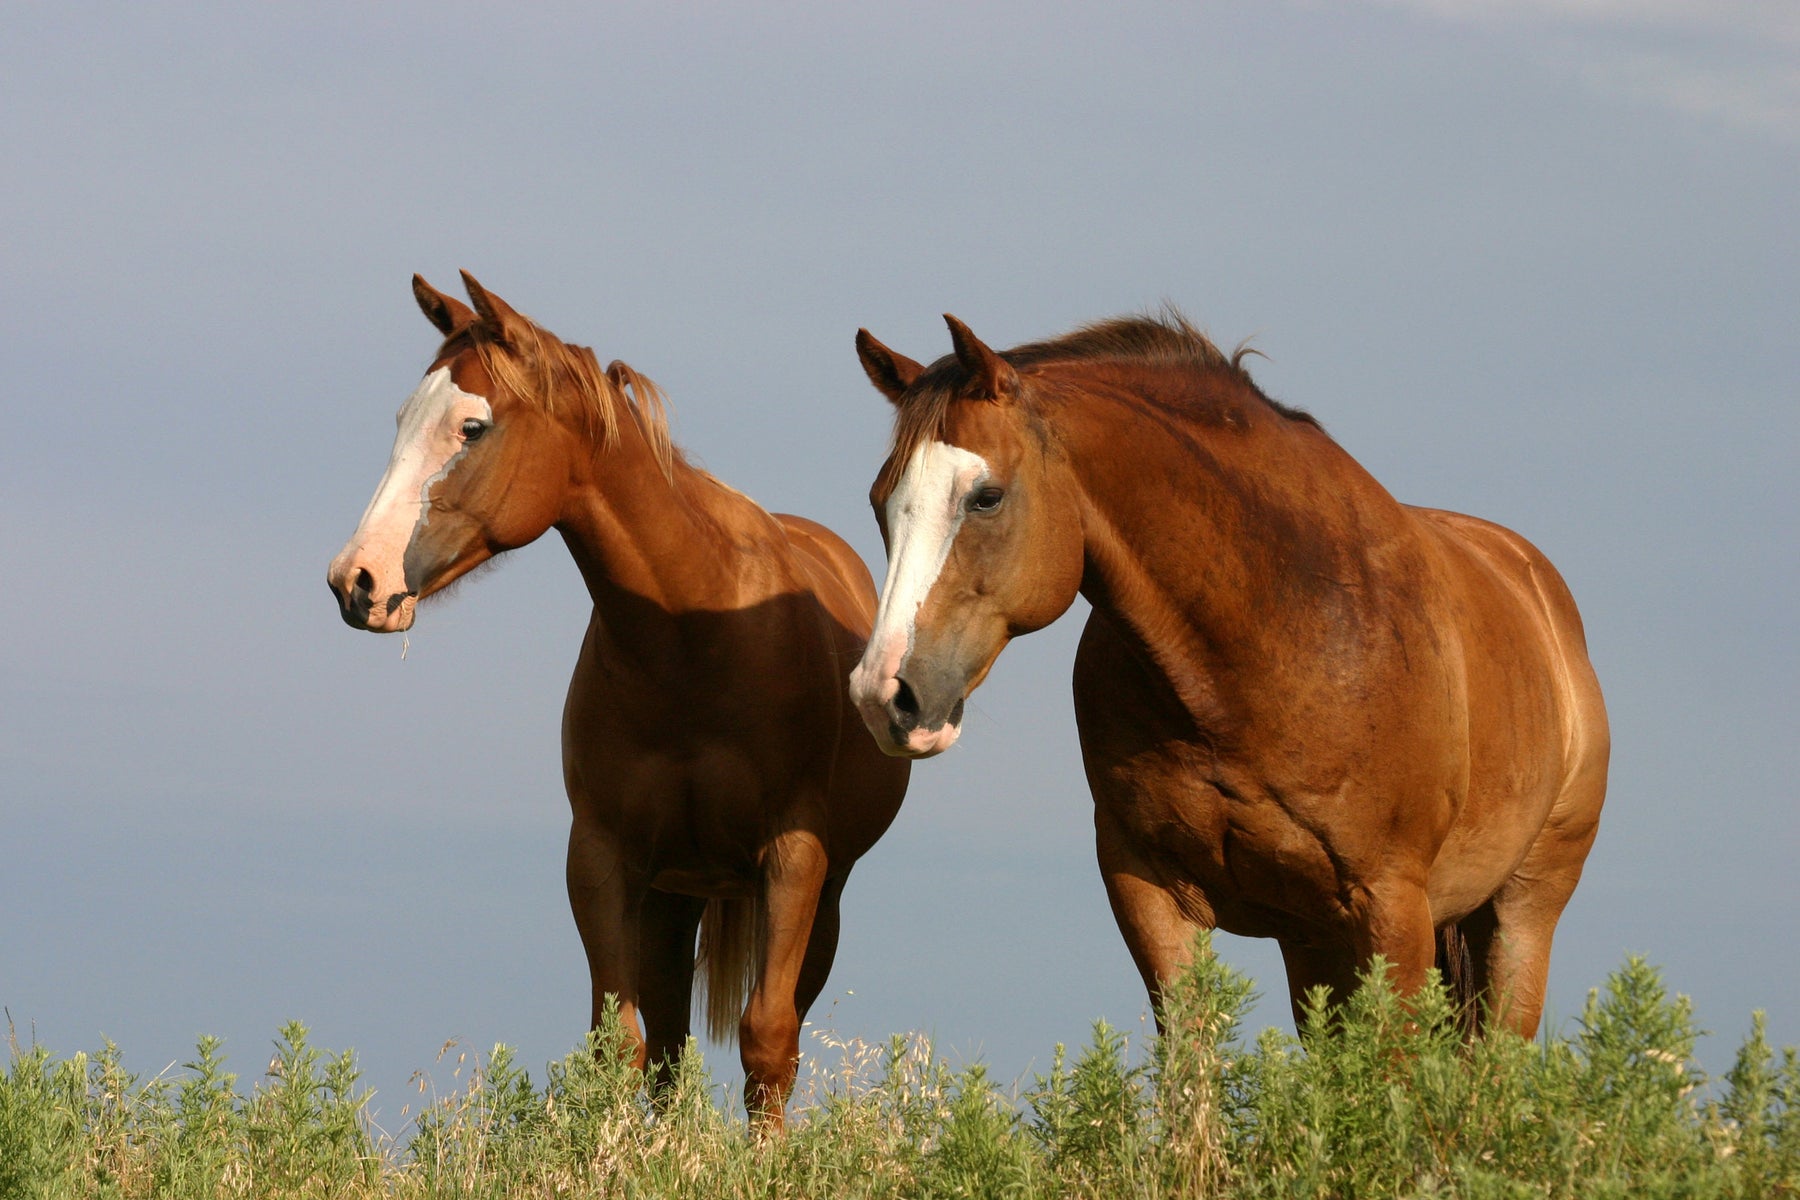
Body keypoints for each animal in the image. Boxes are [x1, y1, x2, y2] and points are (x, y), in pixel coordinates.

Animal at [325, 275, 907, 1129]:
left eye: (472, 426)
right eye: (403, 418)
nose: (356, 580)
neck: (695, 636)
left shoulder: (792, 861)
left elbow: (769, 1043)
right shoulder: (602, 858)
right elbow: (618, 1046)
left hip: (816, 896)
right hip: (674, 894)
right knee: (666, 1046)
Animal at [849, 314, 1612, 1036]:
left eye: (986, 497)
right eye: (880, 500)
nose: (885, 695)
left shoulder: (1390, 907)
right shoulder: (1152, 892)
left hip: (1519, 916)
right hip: (1315, 945)